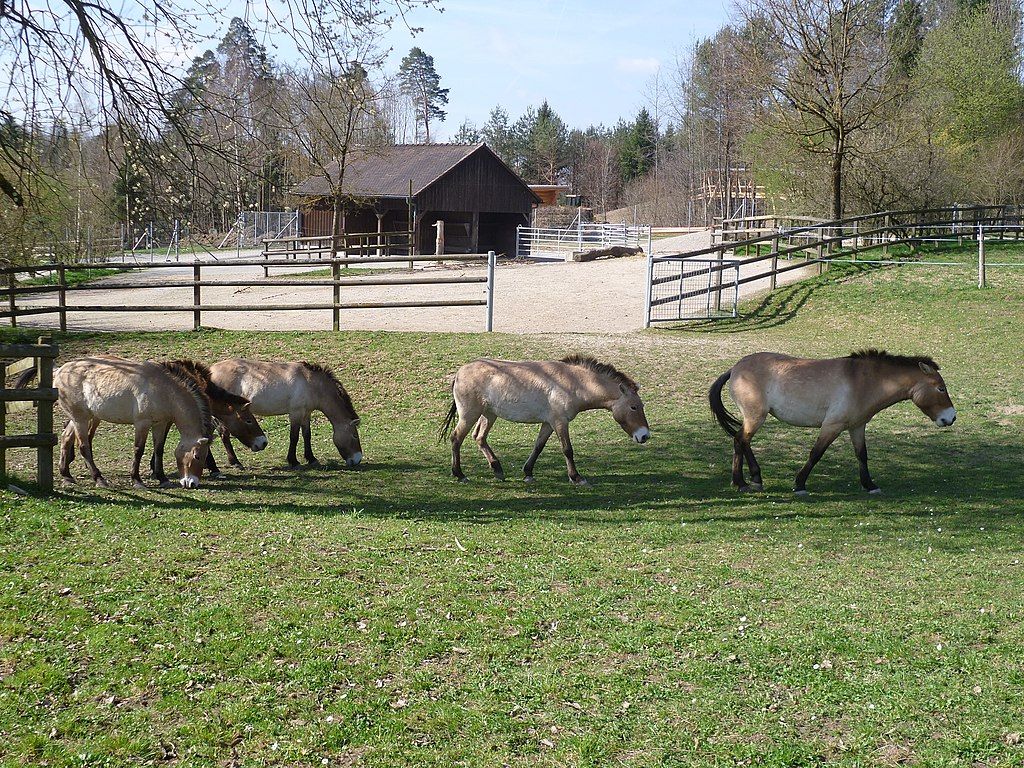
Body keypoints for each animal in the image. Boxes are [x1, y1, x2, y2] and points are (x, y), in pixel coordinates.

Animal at [52, 356, 213, 488]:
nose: (192, 483)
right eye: (197, 456)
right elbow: (138, 450)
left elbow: (159, 450)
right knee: (83, 447)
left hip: (80, 418)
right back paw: (99, 479)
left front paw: (162, 478)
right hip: (81, 419)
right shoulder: (142, 424)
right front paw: (137, 480)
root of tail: (60, 371)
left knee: (66, 438)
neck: (163, 389)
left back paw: (67, 475)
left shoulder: (160, 424)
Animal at [208, 359, 362, 468]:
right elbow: (294, 437)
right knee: (224, 434)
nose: (358, 459)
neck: (311, 383)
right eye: (355, 435)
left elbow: (307, 435)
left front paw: (311, 458)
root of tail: (211, 370)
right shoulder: (295, 413)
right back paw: (235, 462)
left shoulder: (306, 414)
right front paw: (293, 461)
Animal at [439, 354, 650, 485]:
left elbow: (538, 447)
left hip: (489, 415)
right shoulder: (560, 422)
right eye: (634, 407)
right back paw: (460, 474)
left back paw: (497, 469)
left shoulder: (548, 423)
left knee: (479, 437)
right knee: (456, 438)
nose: (645, 436)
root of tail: (459, 373)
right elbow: (567, 450)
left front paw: (528, 473)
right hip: (470, 415)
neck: (573, 382)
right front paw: (576, 477)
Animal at [709, 349, 957, 495]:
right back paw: (747, 481)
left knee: (740, 441)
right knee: (741, 440)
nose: (951, 417)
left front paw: (870, 485)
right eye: (940, 388)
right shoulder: (832, 426)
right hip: (755, 417)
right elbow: (816, 454)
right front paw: (799, 484)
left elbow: (862, 455)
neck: (862, 381)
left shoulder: (857, 427)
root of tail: (735, 368)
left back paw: (747, 480)